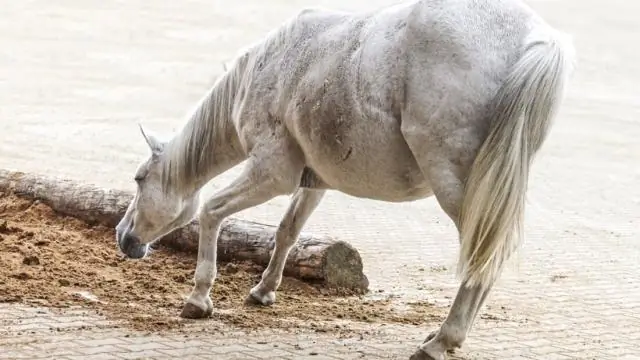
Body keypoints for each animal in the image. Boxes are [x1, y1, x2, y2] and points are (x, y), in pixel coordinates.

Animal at [115, 1, 576, 358]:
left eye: (139, 179)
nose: (124, 237)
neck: (268, 66)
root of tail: (537, 40)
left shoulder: (271, 175)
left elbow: (211, 213)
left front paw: (199, 298)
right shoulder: (313, 183)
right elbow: (286, 232)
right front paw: (263, 291)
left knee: (482, 256)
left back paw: (440, 342)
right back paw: (446, 337)